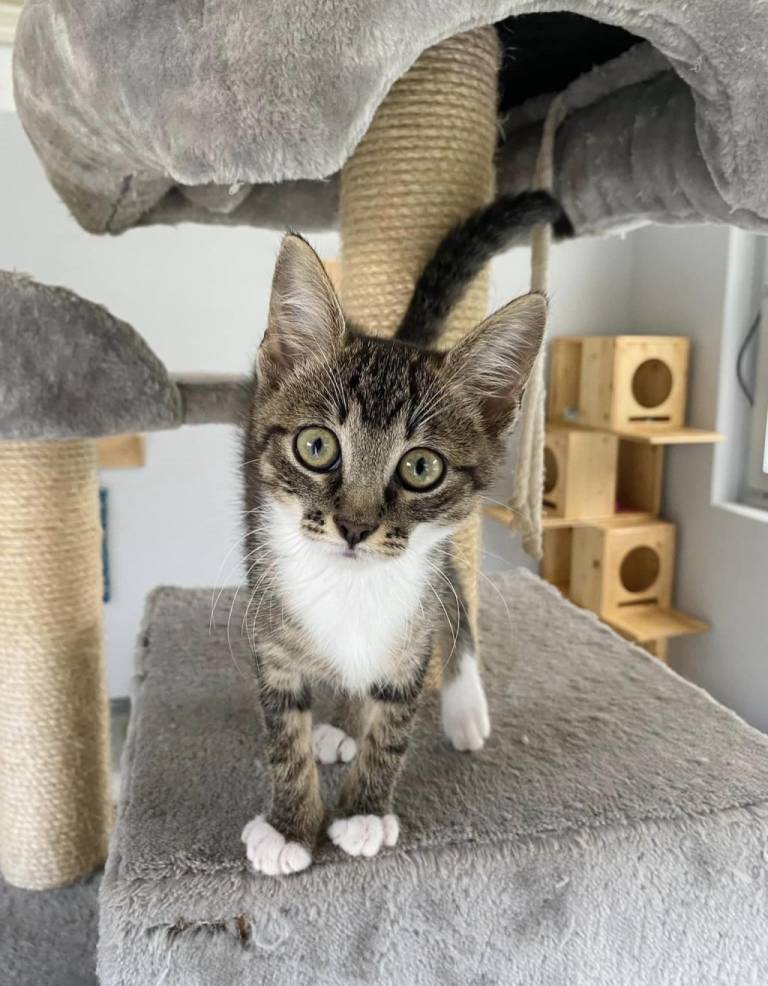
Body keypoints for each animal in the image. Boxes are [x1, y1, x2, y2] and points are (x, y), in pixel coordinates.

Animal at [240, 190, 563, 875]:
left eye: (420, 468)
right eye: (316, 447)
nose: (355, 527)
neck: (351, 585)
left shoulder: (413, 628)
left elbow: (394, 723)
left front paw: (363, 810)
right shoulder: (268, 626)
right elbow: (284, 732)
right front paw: (289, 825)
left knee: (457, 600)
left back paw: (463, 707)